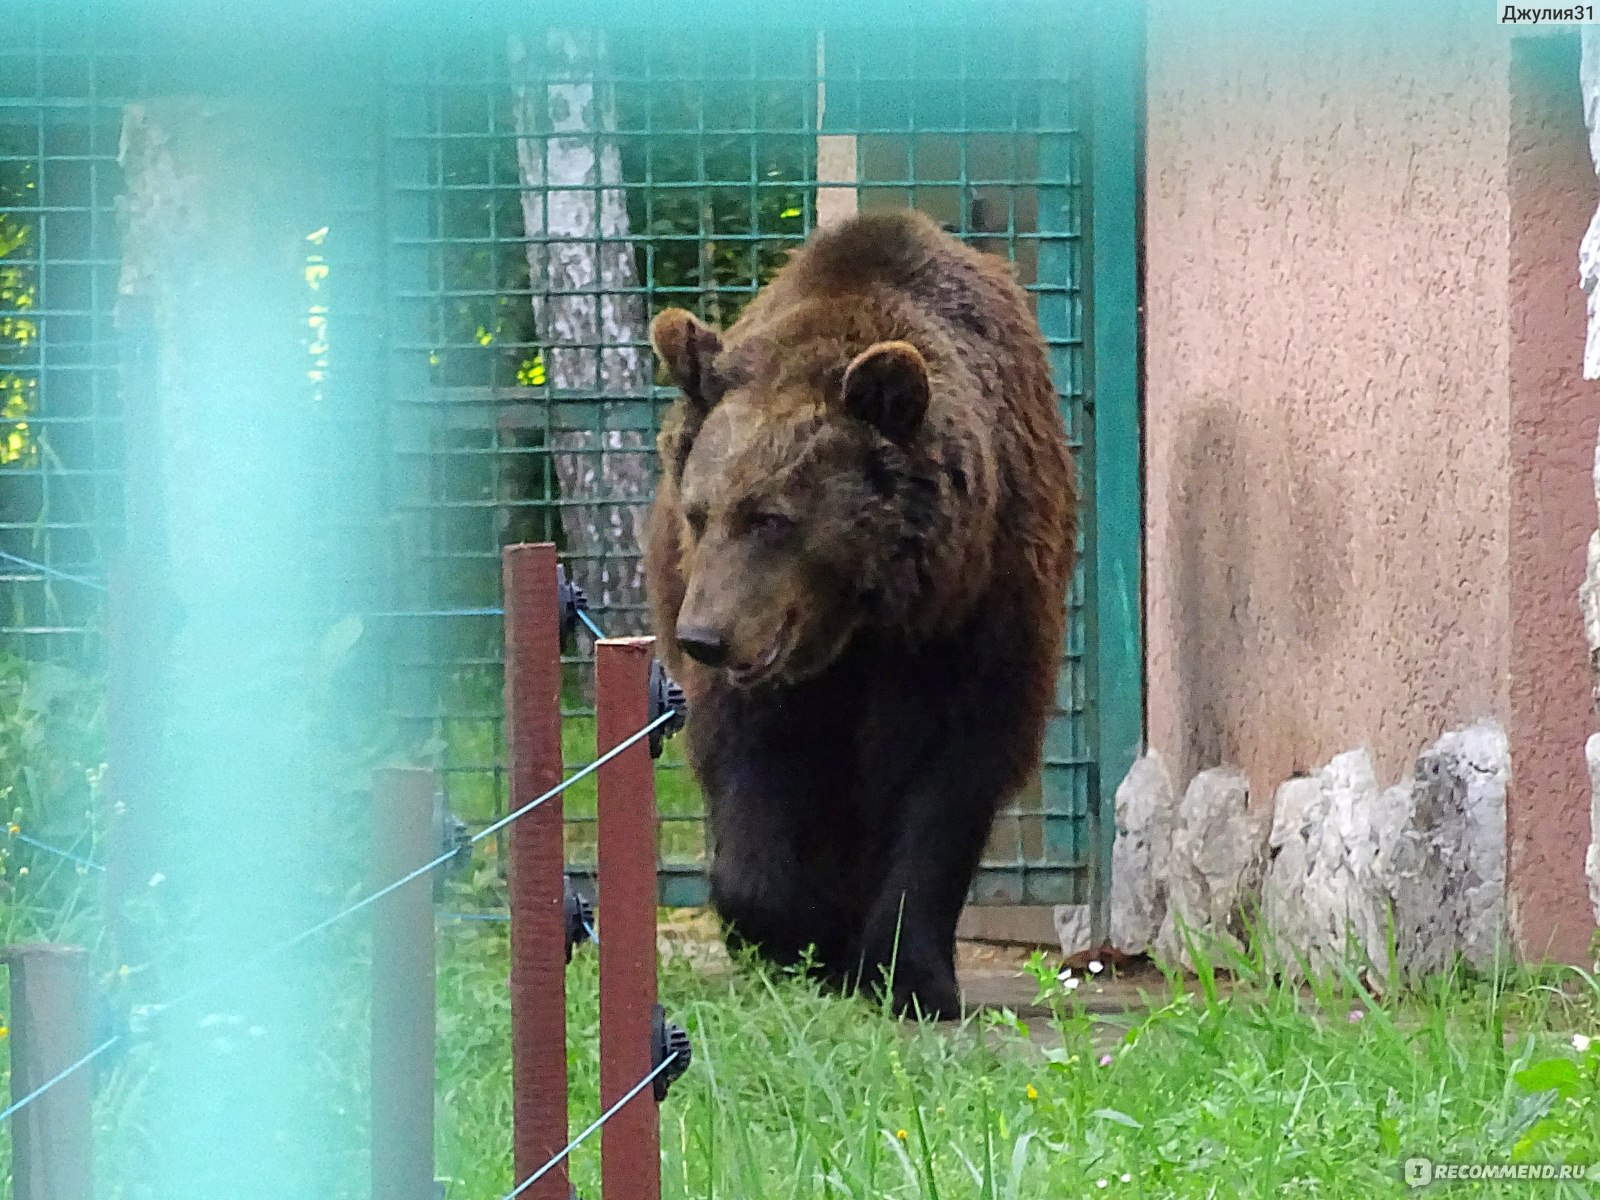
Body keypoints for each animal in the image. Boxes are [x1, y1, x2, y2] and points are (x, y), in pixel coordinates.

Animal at [643, 211, 1081, 1017]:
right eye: (699, 511)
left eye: (770, 517)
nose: (704, 636)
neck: (866, 620)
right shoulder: (767, 678)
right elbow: (755, 765)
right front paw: (795, 935)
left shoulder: (978, 614)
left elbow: (947, 780)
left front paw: (911, 972)